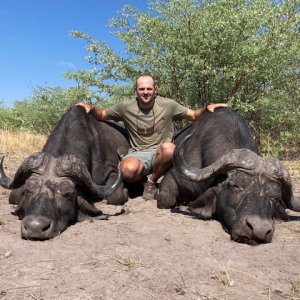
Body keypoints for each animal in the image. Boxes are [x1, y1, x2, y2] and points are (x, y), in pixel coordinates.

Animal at [0, 105, 129, 239]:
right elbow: (12, 196)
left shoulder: (112, 171)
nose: (34, 227)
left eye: (68, 193)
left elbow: (116, 196)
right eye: (27, 190)